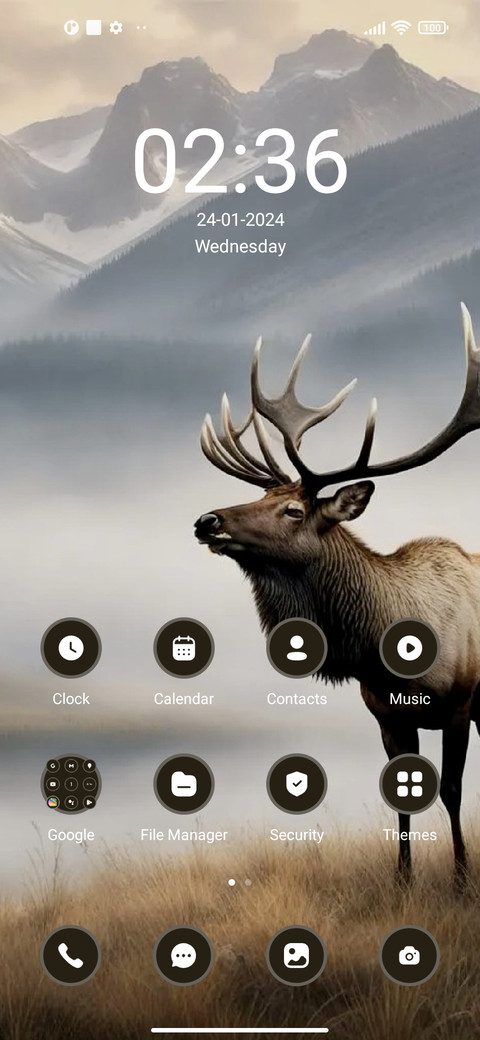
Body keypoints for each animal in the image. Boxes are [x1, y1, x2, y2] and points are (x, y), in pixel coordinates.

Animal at [194, 303, 480, 887]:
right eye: (263, 495)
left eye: (293, 510)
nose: (207, 520)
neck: (385, 657)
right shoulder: (386, 714)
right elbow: (401, 794)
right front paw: (402, 881)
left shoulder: (459, 702)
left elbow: (452, 790)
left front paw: (462, 881)